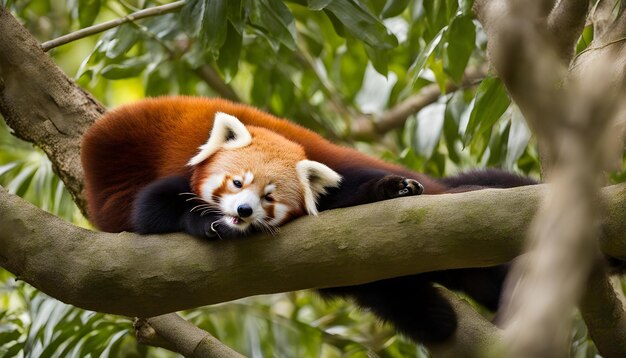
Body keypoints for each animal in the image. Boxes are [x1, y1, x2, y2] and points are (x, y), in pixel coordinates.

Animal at [79, 95, 536, 344]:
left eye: (269, 198)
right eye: (236, 183)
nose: (243, 212)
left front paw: (390, 189)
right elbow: (151, 210)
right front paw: (208, 222)